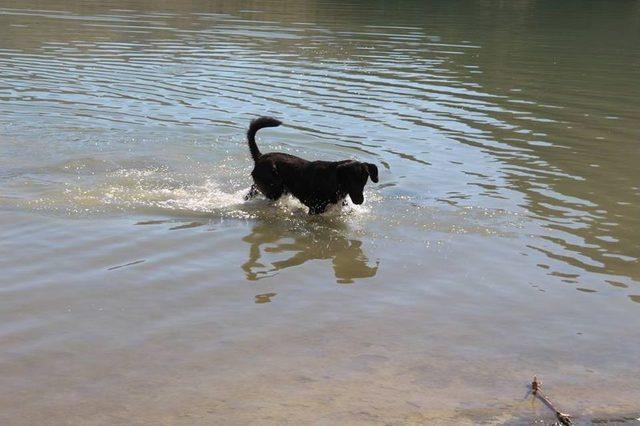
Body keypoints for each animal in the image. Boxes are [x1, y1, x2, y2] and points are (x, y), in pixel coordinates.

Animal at [242, 115, 378, 213]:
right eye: (351, 181)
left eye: (364, 181)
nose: (360, 201)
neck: (336, 181)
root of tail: (260, 157)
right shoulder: (315, 209)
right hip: (274, 191)